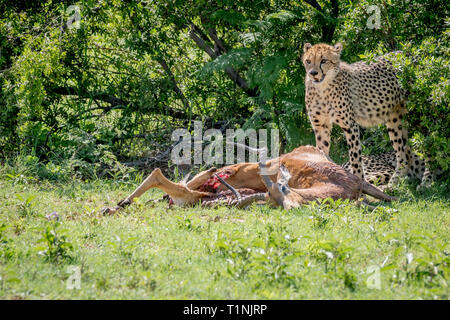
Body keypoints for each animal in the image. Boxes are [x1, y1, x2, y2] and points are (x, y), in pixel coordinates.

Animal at [302, 43, 418, 188]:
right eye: (308, 61)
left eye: (323, 60)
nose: (313, 73)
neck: (322, 89)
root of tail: (407, 52)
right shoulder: (321, 126)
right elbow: (321, 151)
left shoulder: (349, 125)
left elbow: (355, 157)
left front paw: (359, 183)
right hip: (394, 119)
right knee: (403, 152)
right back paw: (397, 182)